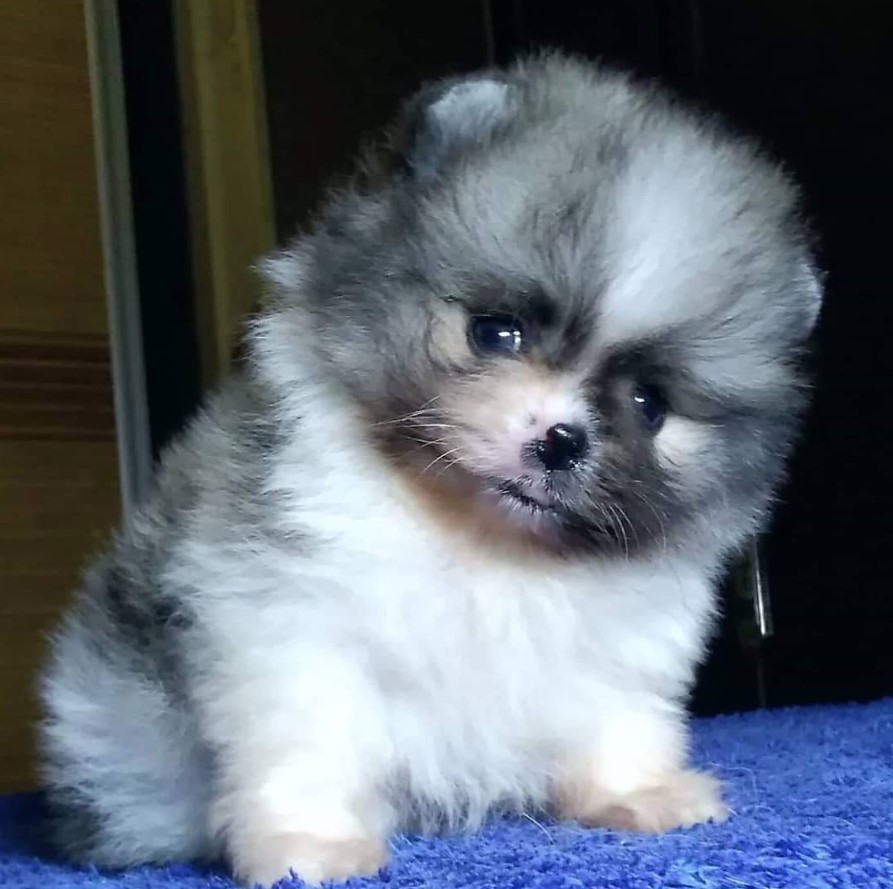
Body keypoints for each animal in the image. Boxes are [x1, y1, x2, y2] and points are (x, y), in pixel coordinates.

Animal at [38, 53, 820, 880]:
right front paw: (309, 844)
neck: (485, 544)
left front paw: (637, 794)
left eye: (648, 402)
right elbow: (308, 741)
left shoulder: (624, 645)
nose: (561, 440)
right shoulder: (284, 615)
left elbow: (619, 717)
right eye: (495, 332)